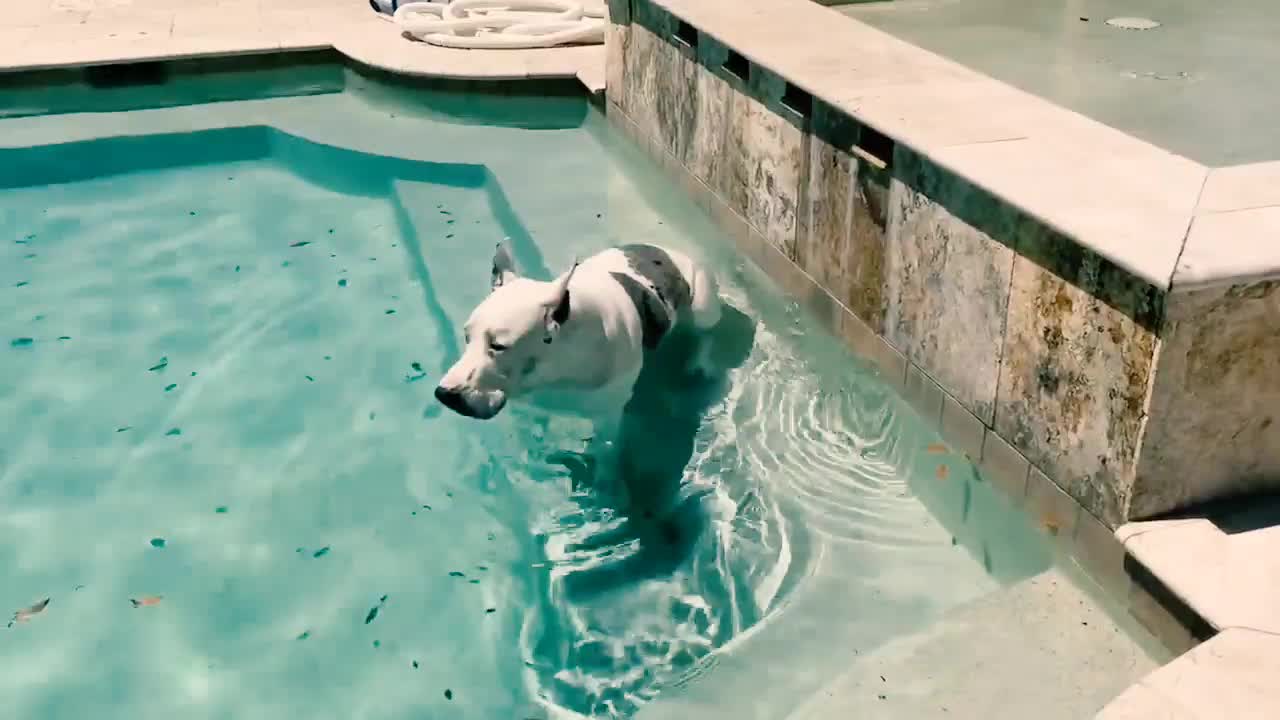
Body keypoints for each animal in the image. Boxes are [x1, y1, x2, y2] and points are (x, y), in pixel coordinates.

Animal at [437, 240, 721, 443]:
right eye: (466, 337)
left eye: (498, 346)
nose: (444, 393)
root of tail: (669, 250)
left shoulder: (608, 418)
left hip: (703, 304)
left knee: (706, 332)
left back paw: (699, 363)